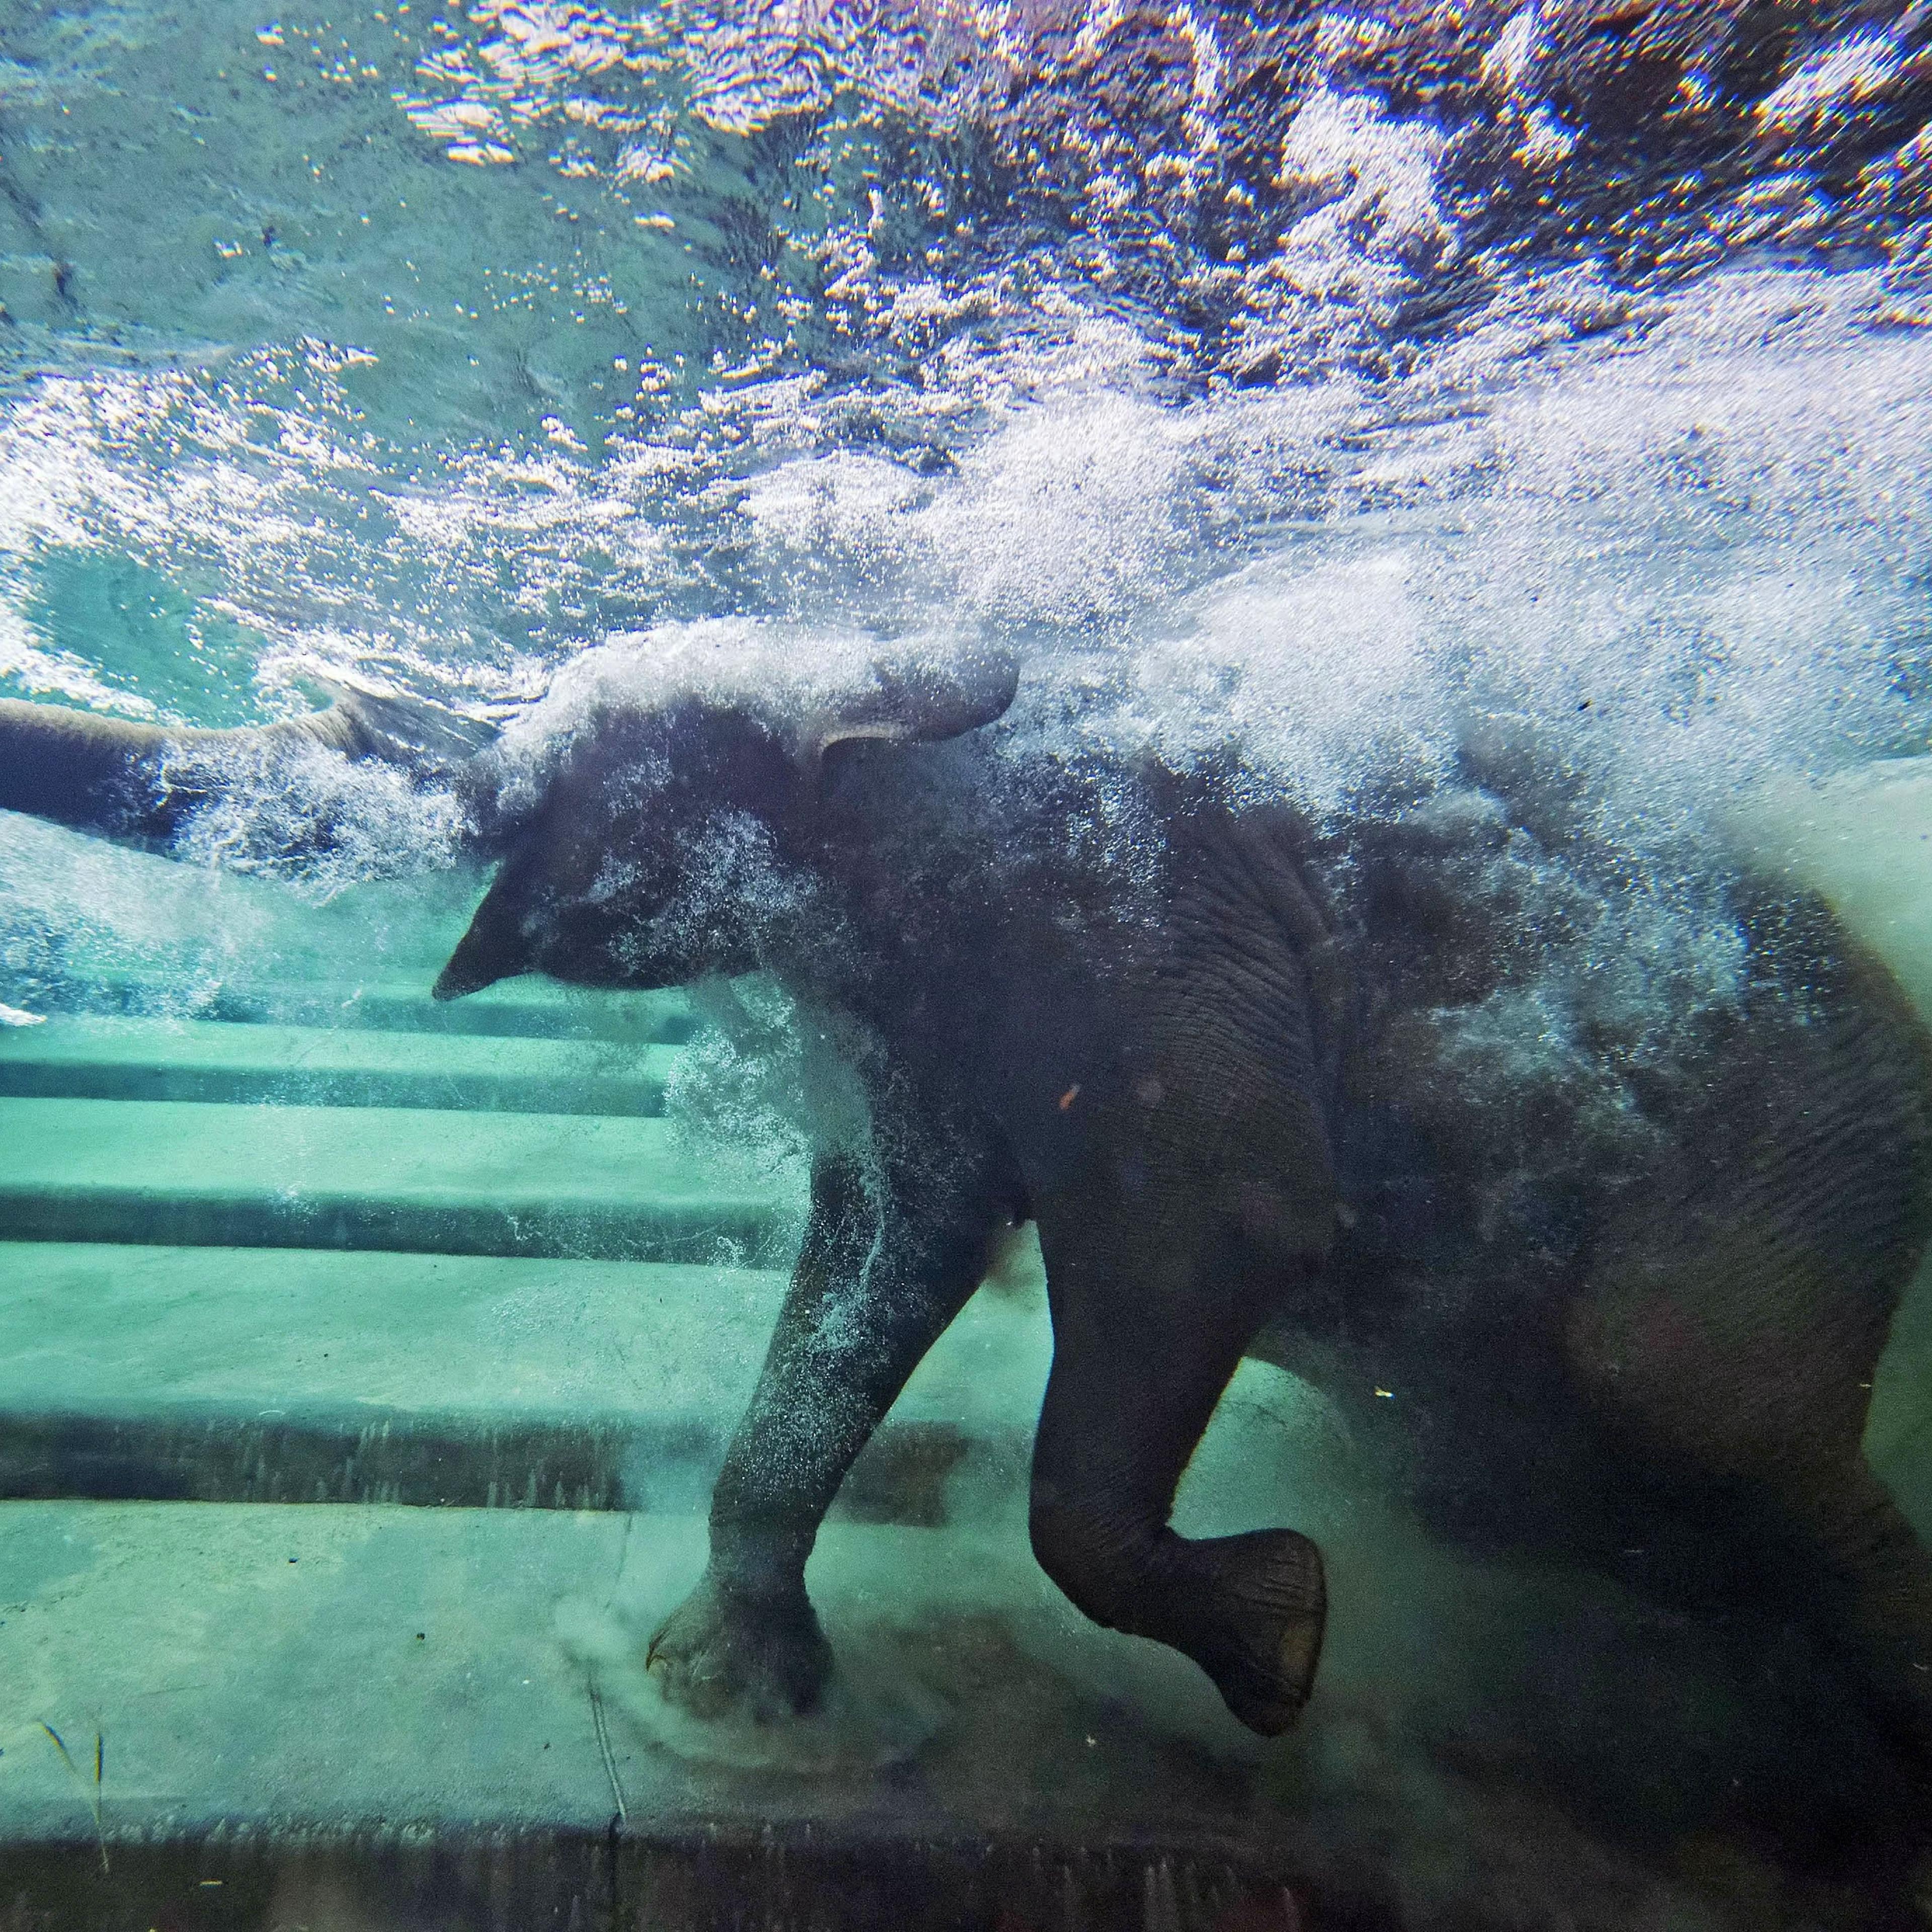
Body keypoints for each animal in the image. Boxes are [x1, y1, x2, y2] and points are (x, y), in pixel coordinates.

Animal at [4, 636, 1932, 1749]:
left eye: (535, 773)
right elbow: (885, 1246)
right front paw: (722, 1693)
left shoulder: (1138, 901)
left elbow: (1219, 1213)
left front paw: (1279, 1650)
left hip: (1799, 1154)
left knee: (1684, 1394)